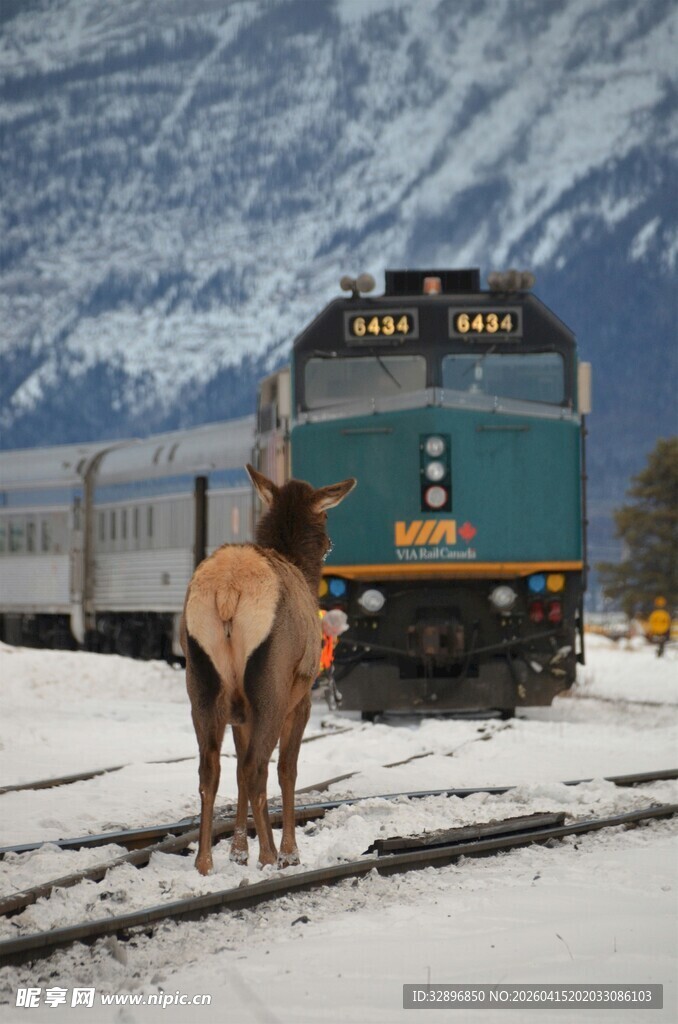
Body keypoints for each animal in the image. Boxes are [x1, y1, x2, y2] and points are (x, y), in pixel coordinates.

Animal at [180, 464, 356, 875]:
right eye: (325, 516)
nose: (330, 543)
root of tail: (228, 591)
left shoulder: (238, 712)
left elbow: (236, 771)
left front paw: (237, 851)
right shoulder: (301, 697)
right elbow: (288, 769)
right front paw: (290, 853)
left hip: (201, 680)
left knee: (211, 768)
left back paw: (204, 861)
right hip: (270, 684)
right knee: (256, 767)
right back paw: (270, 855)